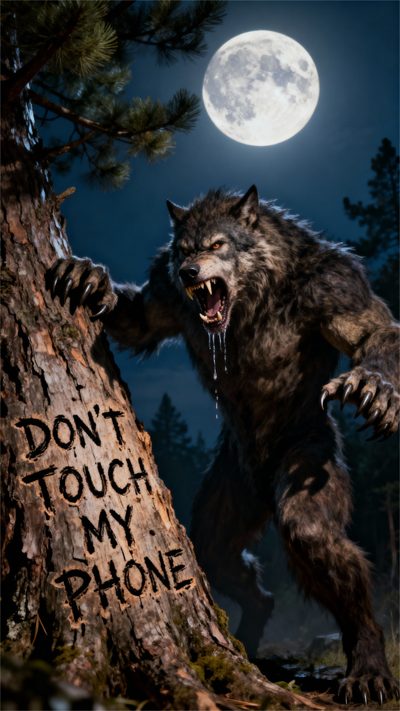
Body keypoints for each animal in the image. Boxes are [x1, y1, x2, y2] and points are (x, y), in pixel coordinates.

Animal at [50, 186, 399, 703]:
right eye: (183, 252)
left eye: (218, 244)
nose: (191, 273)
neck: (255, 297)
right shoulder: (164, 293)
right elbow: (139, 321)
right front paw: (91, 279)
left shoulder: (337, 287)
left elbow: (374, 332)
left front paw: (376, 389)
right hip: (228, 503)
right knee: (233, 568)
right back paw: (251, 634)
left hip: (307, 468)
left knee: (311, 536)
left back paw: (369, 669)